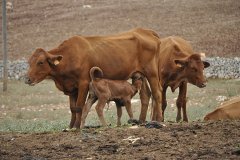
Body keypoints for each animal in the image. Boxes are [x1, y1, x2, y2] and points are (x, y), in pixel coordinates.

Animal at [24, 27, 163, 129]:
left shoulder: (83, 83)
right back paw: (141, 121)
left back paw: (159, 120)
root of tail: (145, 31)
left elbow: (79, 106)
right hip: (140, 74)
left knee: (157, 93)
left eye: (40, 62)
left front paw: (77, 126)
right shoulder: (72, 88)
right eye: (29, 62)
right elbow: (72, 108)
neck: (70, 56)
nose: (27, 79)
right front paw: (71, 126)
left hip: (152, 73)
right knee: (145, 95)